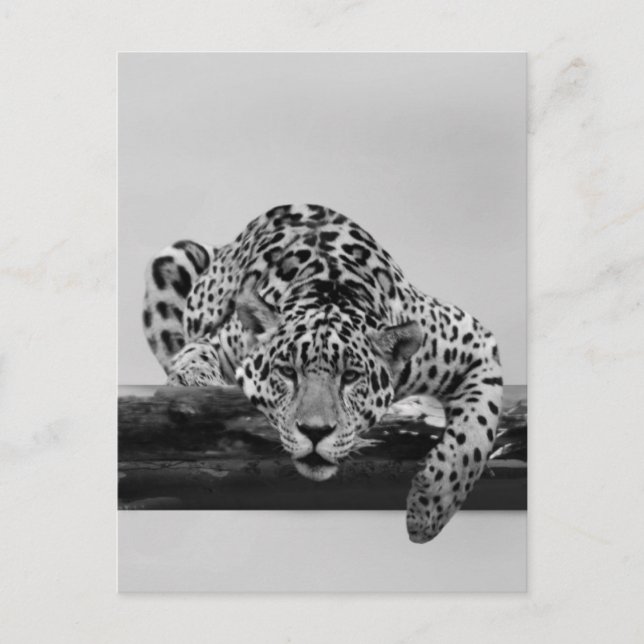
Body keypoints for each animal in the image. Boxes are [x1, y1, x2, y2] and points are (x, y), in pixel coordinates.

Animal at [142, 204, 503, 543]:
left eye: (351, 377)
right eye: (287, 372)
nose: (315, 432)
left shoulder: (475, 343)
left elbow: (474, 436)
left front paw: (428, 512)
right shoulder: (220, 342)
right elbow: (195, 357)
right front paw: (194, 386)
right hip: (171, 257)